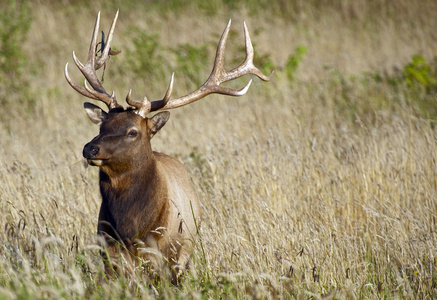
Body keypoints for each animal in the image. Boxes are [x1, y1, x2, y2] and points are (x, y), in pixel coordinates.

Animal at [64, 11, 270, 284]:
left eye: (133, 131)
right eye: (102, 126)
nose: (90, 149)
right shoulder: (109, 252)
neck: (131, 227)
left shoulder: (166, 255)